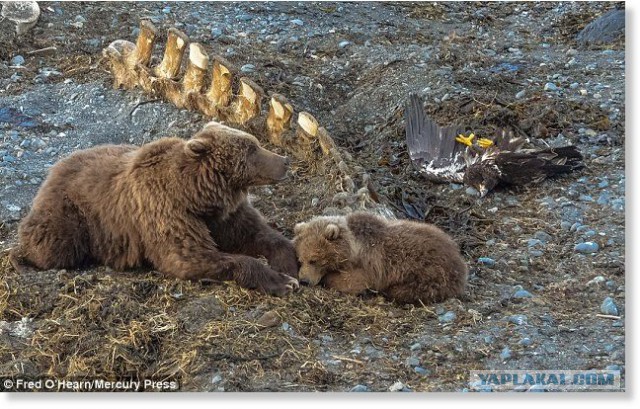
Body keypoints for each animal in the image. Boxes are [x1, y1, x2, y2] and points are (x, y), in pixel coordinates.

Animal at [10, 122, 300, 296]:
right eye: (252, 148)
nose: (285, 160)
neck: (197, 194)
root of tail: (53, 169)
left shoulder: (223, 215)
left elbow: (254, 232)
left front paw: (291, 267)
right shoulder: (166, 210)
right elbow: (190, 257)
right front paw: (282, 282)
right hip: (71, 213)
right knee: (53, 245)